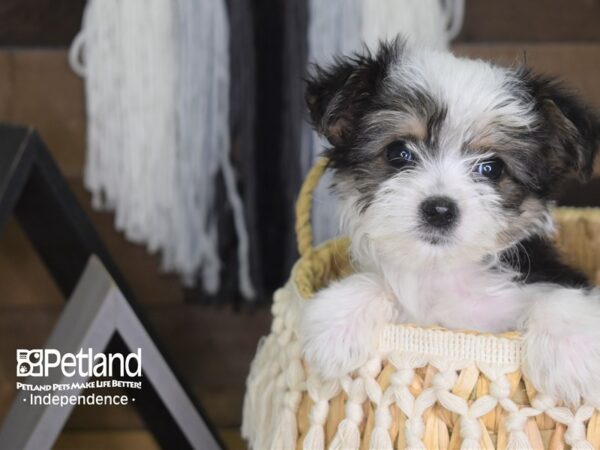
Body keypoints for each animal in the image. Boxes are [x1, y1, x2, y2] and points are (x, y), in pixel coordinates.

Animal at [300, 37, 600, 406]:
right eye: (399, 152)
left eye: (492, 168)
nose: (440, 210)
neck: (440, 270)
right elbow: (377, 281)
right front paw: (336, 324)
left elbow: (557, 294)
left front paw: (572, 354)